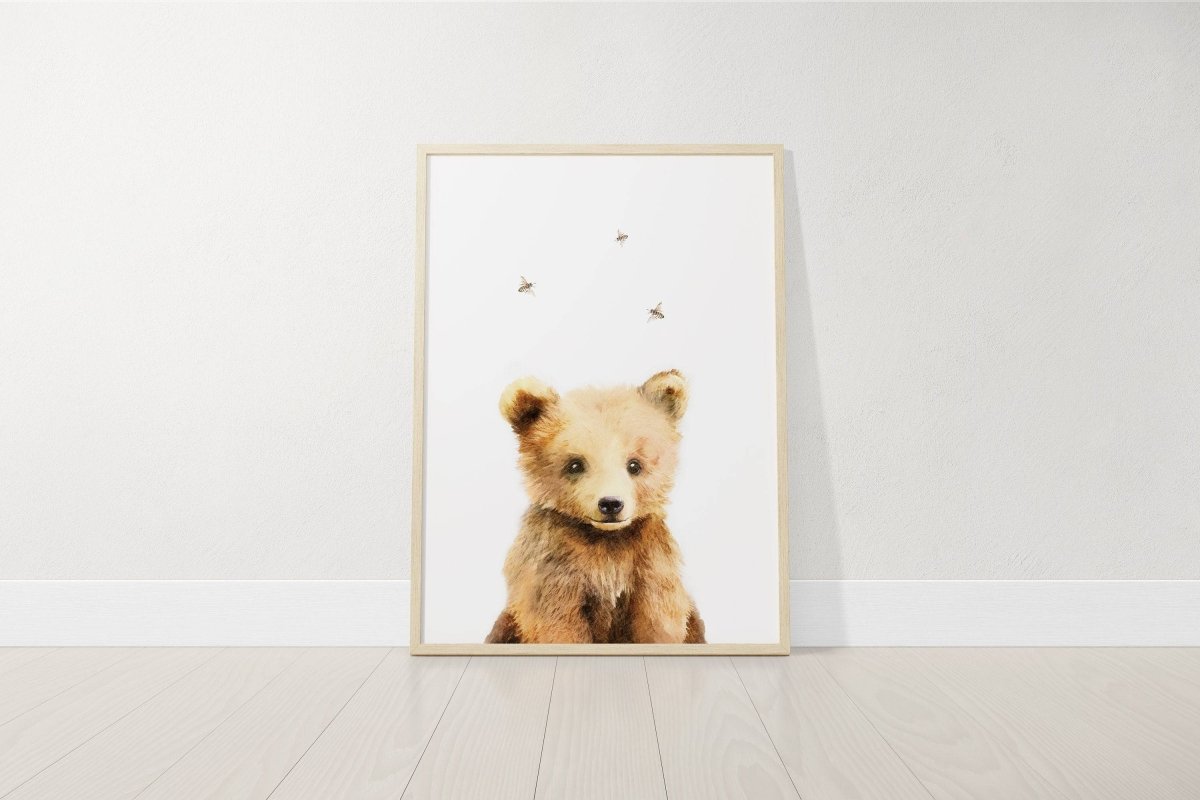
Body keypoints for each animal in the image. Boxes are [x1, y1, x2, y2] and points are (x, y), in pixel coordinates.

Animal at [485, 369, 706, 645]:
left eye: (634, 464)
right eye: (575, 464)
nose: (611, 504)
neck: (605, 541)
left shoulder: (648, 566)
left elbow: (657, 621)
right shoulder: (554, 570)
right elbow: (557, 624)